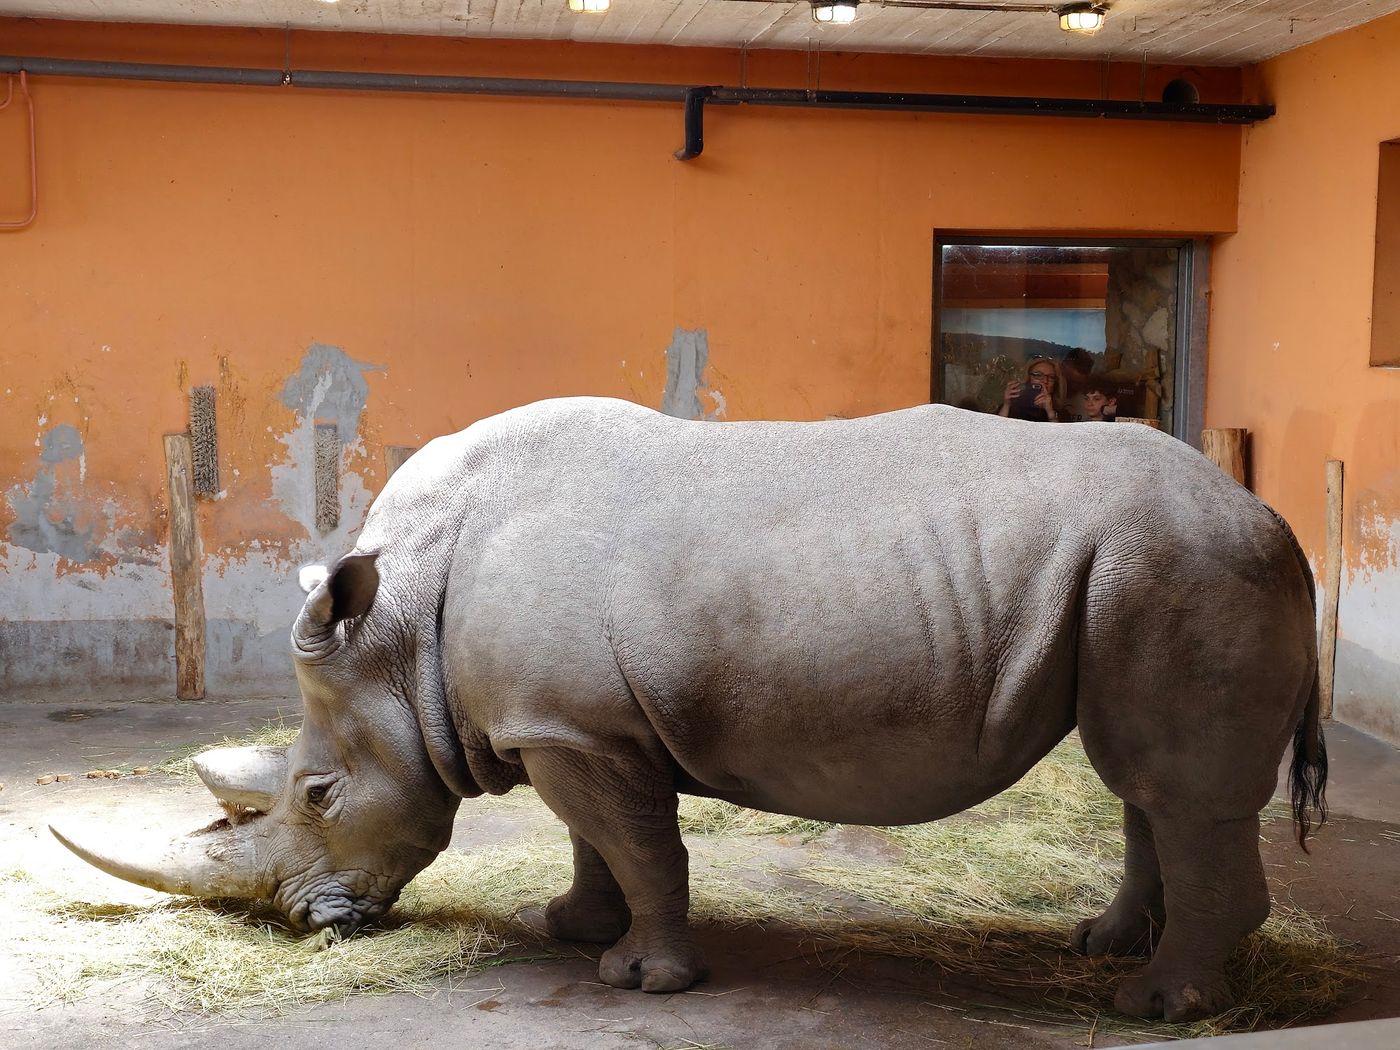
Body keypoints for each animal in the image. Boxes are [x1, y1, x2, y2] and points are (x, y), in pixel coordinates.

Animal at [51, 392, 1321, 1019]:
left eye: (315, 793)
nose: (312, 923)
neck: (399, 631)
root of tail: (1271, 518)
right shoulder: (562, 721)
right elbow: (594, 839)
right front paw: (574, 927)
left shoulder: (576, 728)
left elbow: (641, 844)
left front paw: (640, 981)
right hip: (1135, 578)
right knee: (1142, 780)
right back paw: (1105, 947)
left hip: (1175, 568)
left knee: (1175, 786)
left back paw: (1158, 1004)